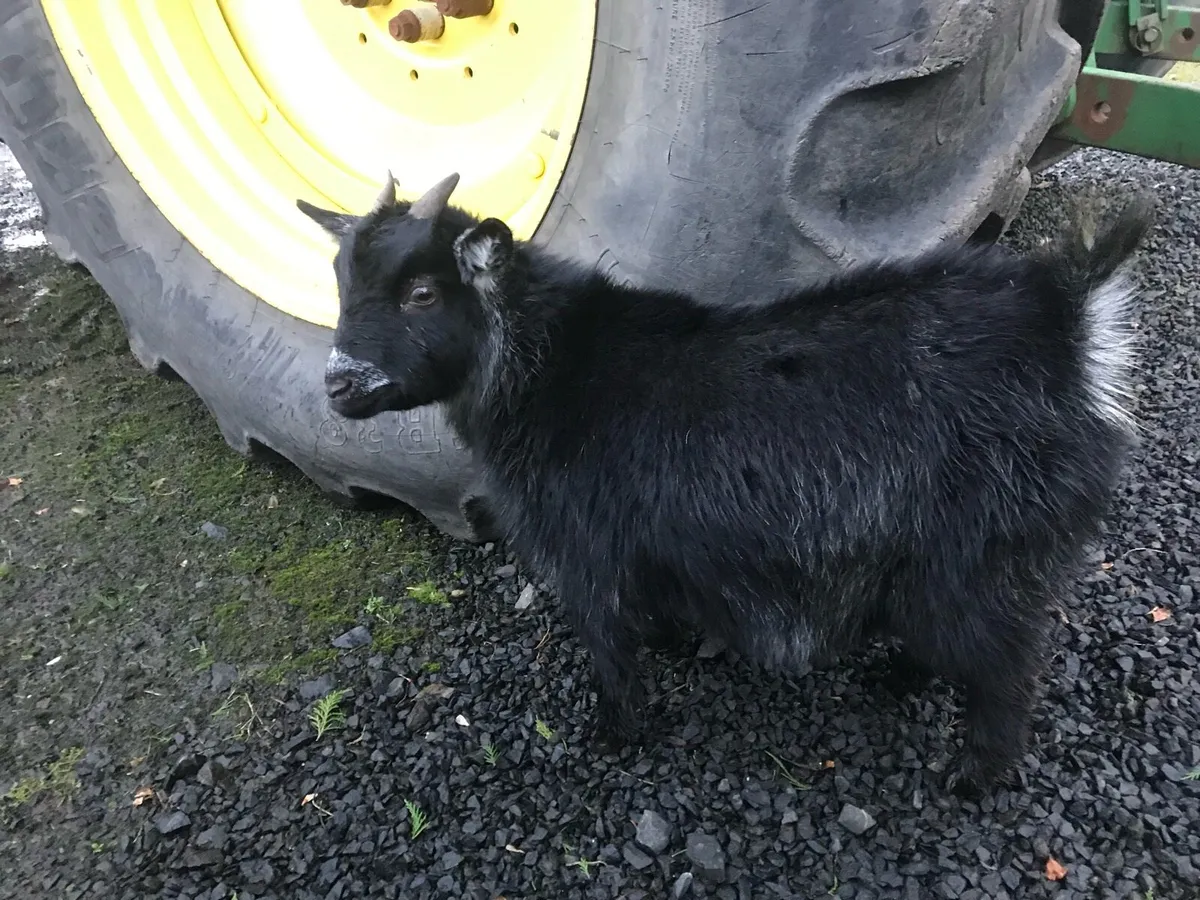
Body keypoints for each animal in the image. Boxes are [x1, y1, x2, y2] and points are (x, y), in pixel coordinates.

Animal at [298, 174, 1151, 796]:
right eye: (338, 282)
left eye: (420, 293)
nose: (338, 386)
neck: (547, 367)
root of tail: (1068, 323)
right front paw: (671, 645)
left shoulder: (586, 552)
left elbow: (607, 643)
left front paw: (615, 735)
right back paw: (899, 679)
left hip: (985, 553)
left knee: (1006, 667)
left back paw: (974, 775)